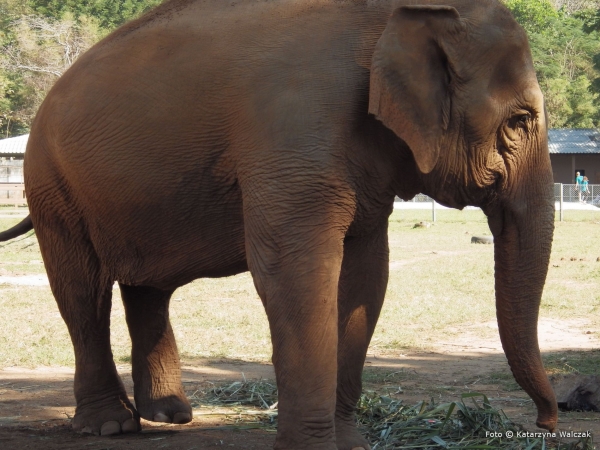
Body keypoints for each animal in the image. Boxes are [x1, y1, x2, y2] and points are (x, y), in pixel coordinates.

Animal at [1, 0, 556, 450]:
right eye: (520, 121)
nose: (547, 421)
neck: (391, 15)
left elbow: (365, 279)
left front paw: (349, 445)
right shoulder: (295, 130)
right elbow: (295, 273)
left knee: (147, 287)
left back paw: (171, 415)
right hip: (52, 186)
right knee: (82, 290)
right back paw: (111, 426)